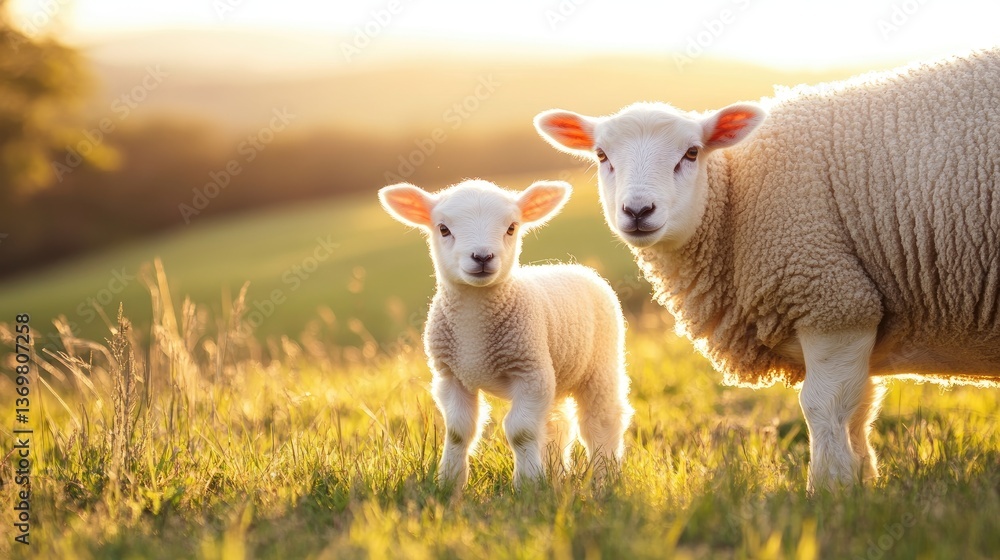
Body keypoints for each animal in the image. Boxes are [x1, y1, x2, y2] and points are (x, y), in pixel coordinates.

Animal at [378, 178, 633, 489]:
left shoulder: (530, 372)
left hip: (600, 365)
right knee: (557, 423)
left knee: (601, 421)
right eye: (443, 229)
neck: (474, 329)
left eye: (511, 227)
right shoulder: (451, 376)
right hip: (556, 373)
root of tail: (576, 267)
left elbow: (521, 431)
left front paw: (528, 486)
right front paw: (450, 483)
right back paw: (556, 473)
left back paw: (605, 477)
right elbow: (459, 431)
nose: (482, 256)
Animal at [533, 48, 1000, 491]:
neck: (734, 203)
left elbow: (826, 406)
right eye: (601, 155)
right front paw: (862, 482)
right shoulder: (853, 309)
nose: (637, 211)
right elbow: (860, 410)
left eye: (691, 152)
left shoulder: (834, 301)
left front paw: (829, 488)